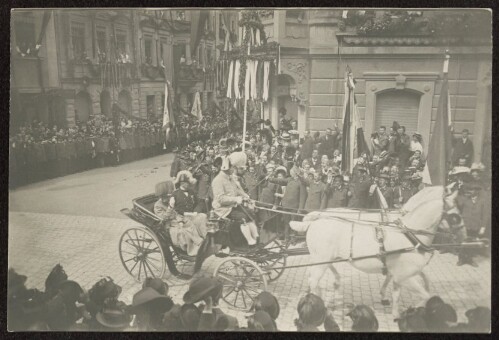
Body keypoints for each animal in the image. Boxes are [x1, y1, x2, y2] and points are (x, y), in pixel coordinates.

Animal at [292, 186, 462, 318]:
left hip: (324, 258)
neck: (408, 233)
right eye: (455, 217)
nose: (463, 236)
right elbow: (421, 293)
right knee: (314, 279)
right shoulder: (404, 274)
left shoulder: (401, 271)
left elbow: (409, 285)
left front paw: (393, 309)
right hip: (322, 258)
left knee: (315, 276)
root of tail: (316, 218)